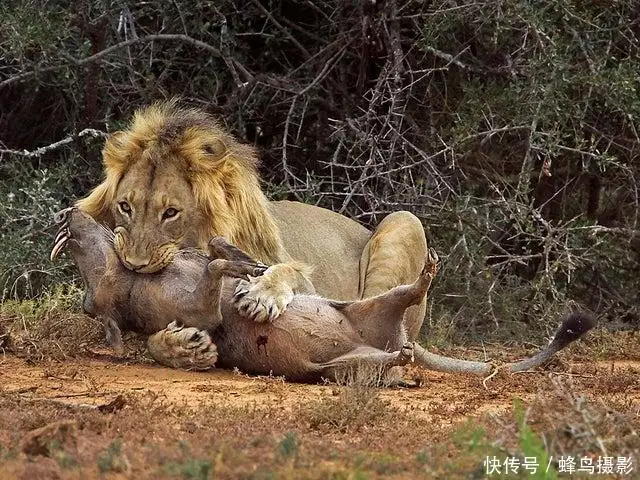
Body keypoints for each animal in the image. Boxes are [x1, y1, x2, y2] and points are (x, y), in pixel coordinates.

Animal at [77, 100, 430, 338]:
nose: (134, 264)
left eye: (170, 213)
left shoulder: (302, 279)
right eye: (125, 207)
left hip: (405, 219)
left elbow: (287, 270)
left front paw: (262, 295)